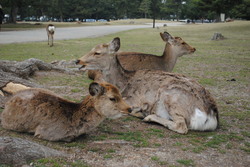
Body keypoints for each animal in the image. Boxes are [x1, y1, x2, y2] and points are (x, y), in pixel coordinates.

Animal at [76, 37, 219, 134]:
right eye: (91, 49)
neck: (123, 83)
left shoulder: (134, 100)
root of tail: (212, 116)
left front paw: (140, 112)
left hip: (172, 97)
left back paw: (148, 117)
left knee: (181, 126)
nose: (78, 60)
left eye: (97, 52)